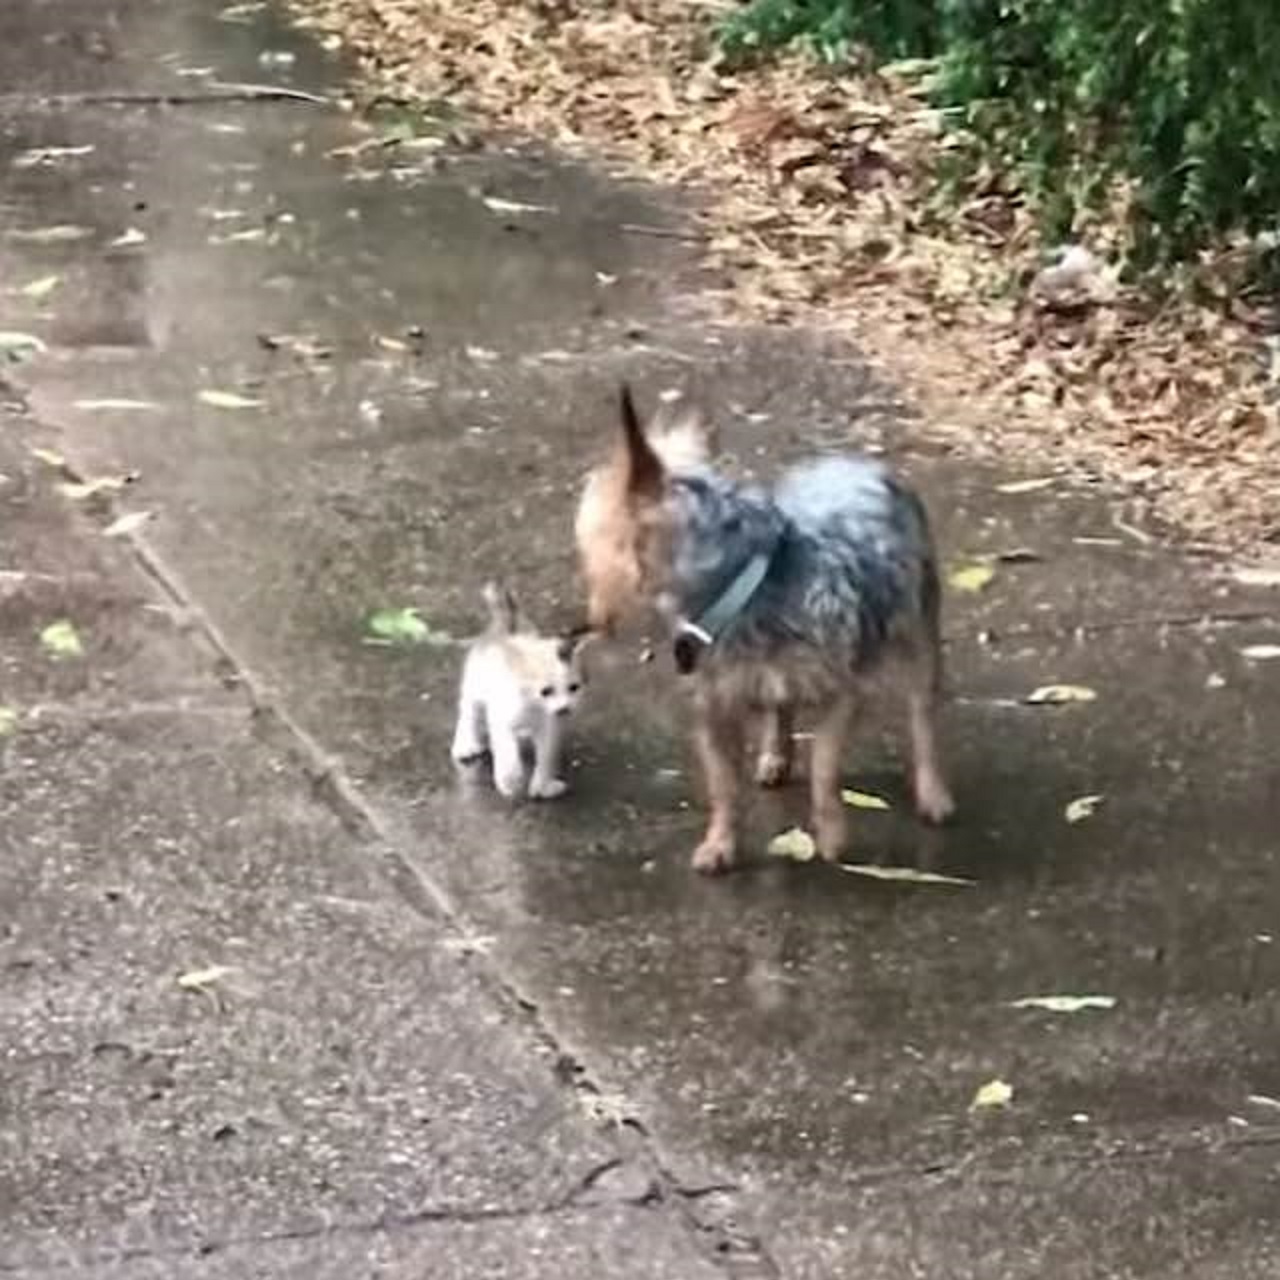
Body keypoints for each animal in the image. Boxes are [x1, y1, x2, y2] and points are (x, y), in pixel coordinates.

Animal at [450, 583, 588, 798]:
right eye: (545, 691)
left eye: (573, 688)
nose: (564, 709)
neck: (533, 706)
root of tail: (507, 624)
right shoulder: (501, 719)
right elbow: (507, 750)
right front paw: (510, 780)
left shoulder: (549, 726)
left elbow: (546, 755)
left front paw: (543, 786)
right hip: (474, 689)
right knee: (468, 714)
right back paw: (465, 744)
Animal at [576, 384, 957, 875]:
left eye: (591, 545)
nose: (590, 618)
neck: (746, 584)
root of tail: (858, 459)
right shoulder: (713, 708)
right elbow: (723, 787)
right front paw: (720, 844)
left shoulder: (842, 693)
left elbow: (824, 768)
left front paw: (832, 837)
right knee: (781, 707)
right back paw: (775, 754)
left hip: (919, 627)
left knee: (921, 712)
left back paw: (933, 792)